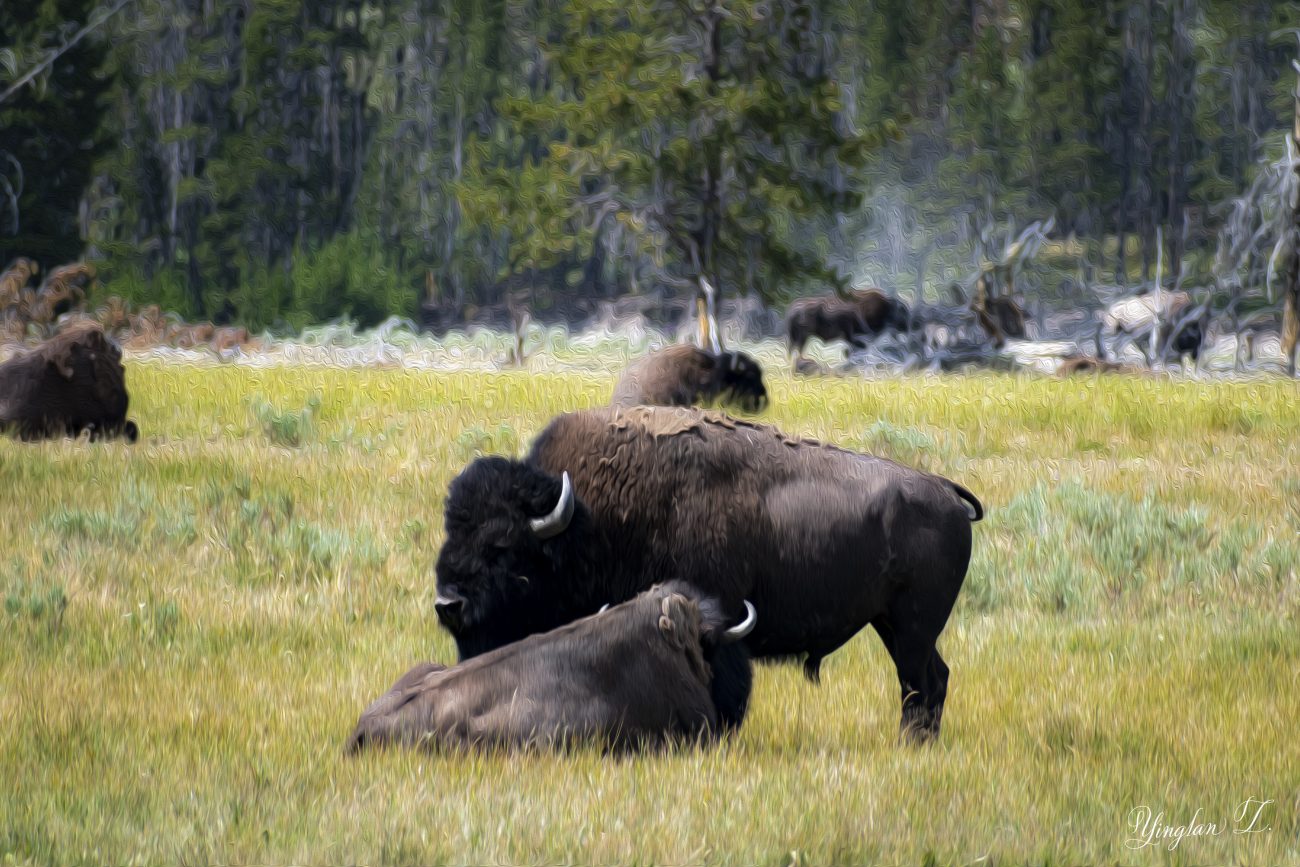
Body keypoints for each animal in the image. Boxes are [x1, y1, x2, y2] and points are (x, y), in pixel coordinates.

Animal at [434, 405, 983, 742]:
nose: (447, 604)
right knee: (931, 680)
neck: (591, 520)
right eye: (450, 532)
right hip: (892, 624)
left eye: (502, 547)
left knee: (920, 683)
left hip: (911, 627)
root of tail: (944, 490)